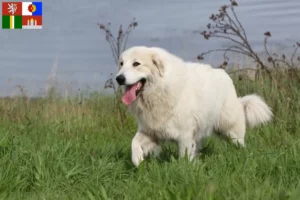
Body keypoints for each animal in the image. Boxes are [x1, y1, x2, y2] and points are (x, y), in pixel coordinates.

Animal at [116, 46, 274, 166]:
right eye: (121, 64)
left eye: (136, 64)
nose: (119, 78)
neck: (160, 90)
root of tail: (225, 75)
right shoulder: (151, 131)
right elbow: (134, 142)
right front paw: (137, 160)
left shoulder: (184, 135)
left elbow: (184, 157)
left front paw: (184, 170)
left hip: (229, 129)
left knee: (239, 143)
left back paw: (243, 156)